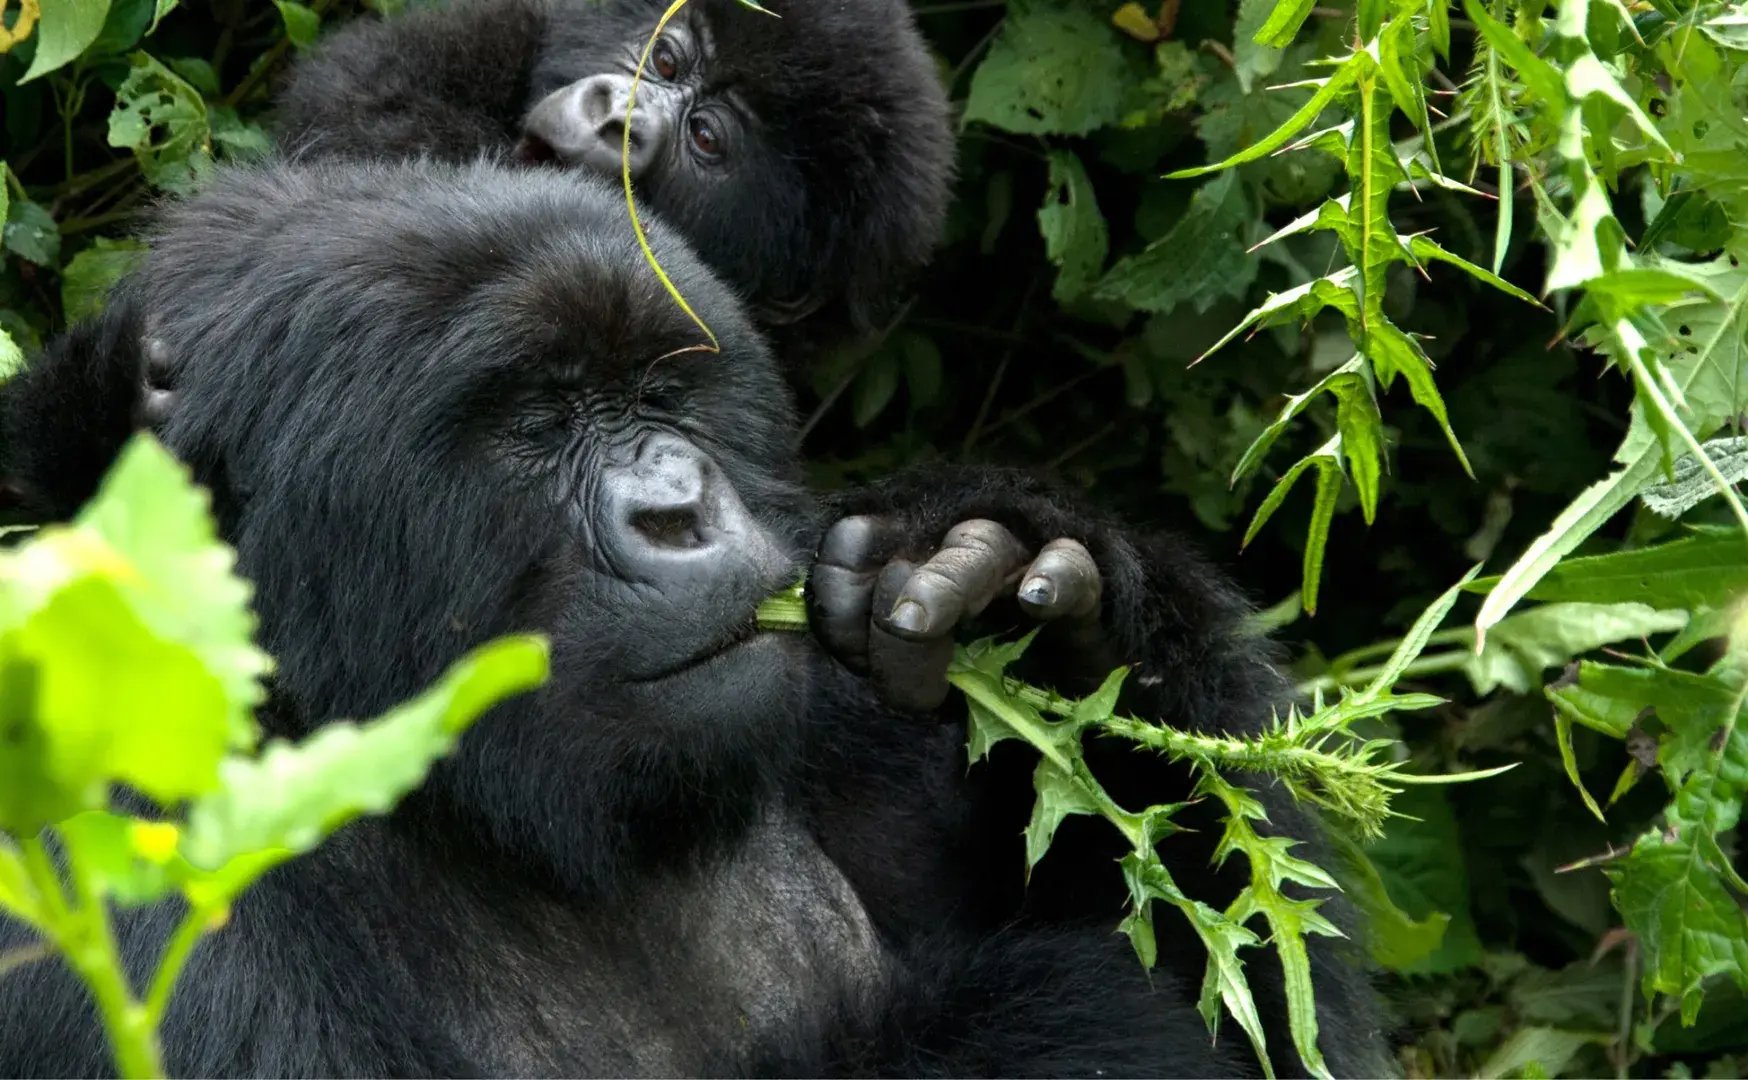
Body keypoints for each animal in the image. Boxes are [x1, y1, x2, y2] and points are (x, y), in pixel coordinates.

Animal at [0, 159, 1377, 1076]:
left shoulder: (825, 695)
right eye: (536, 418)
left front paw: (1040, 595)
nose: (679, 507)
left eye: (662, 393)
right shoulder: (97, 867)